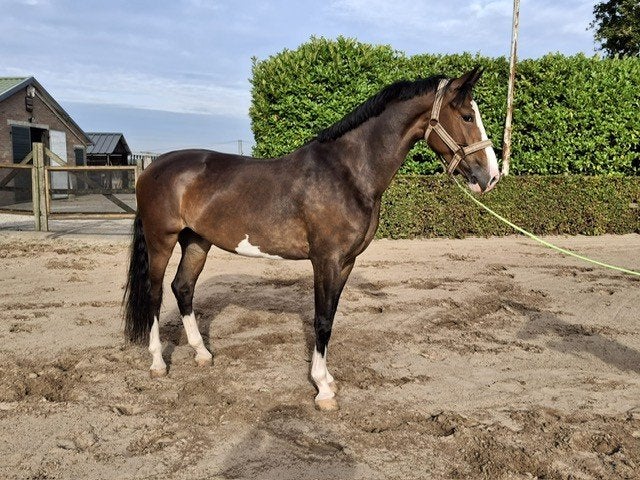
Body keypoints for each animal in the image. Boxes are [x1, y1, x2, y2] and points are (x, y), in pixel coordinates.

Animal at [123, 67, 500, 411]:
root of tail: (152, 168)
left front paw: (328, 381)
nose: (492, 176)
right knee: (156, 293)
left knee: (183, 287)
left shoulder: (346, 262)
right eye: (467, 116)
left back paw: (202, 353)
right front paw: (322, 390)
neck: (348, 173)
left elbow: (329, 318)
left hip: (197, 241)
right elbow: (320, 320)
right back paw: (158, 362)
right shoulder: (326, 260)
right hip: (161, 240)